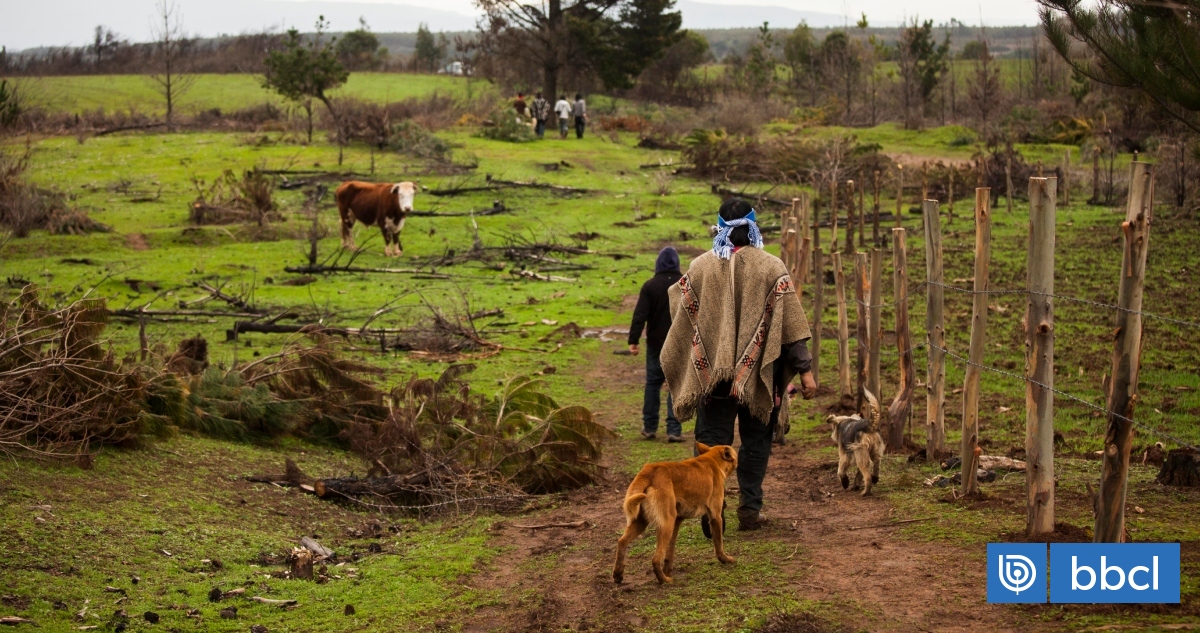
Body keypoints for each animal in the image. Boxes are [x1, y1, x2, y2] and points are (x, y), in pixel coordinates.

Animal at [614, 441, 734, 582]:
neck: (712, 460)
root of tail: (650, 471)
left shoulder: (677, 521)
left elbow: (670, 551)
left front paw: (668, 570)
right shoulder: (715, 516)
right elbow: (718, 542)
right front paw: (725, 559)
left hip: (642, 523)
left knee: (622, 542)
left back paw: (618, 574)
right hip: (666, 524)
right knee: (655, 559)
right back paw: (664, 580)